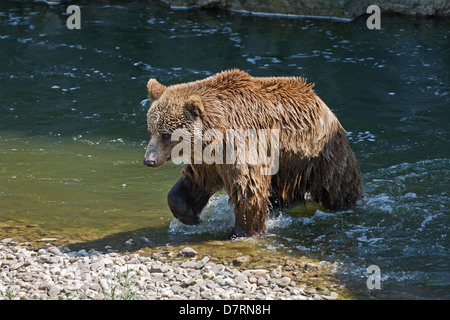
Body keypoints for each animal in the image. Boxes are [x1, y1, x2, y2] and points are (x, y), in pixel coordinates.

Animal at [144, 69, 362, 236]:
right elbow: (195, 182)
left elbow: (248, 187)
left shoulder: (240, 143)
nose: (149, 160)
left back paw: (347, 204)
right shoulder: (209, 160)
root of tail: (319, 100)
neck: (214, 134)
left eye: (166, 134)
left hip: (320, 154)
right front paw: (189, 215)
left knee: (338, 184)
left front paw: (244, 231)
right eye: (151, 130)